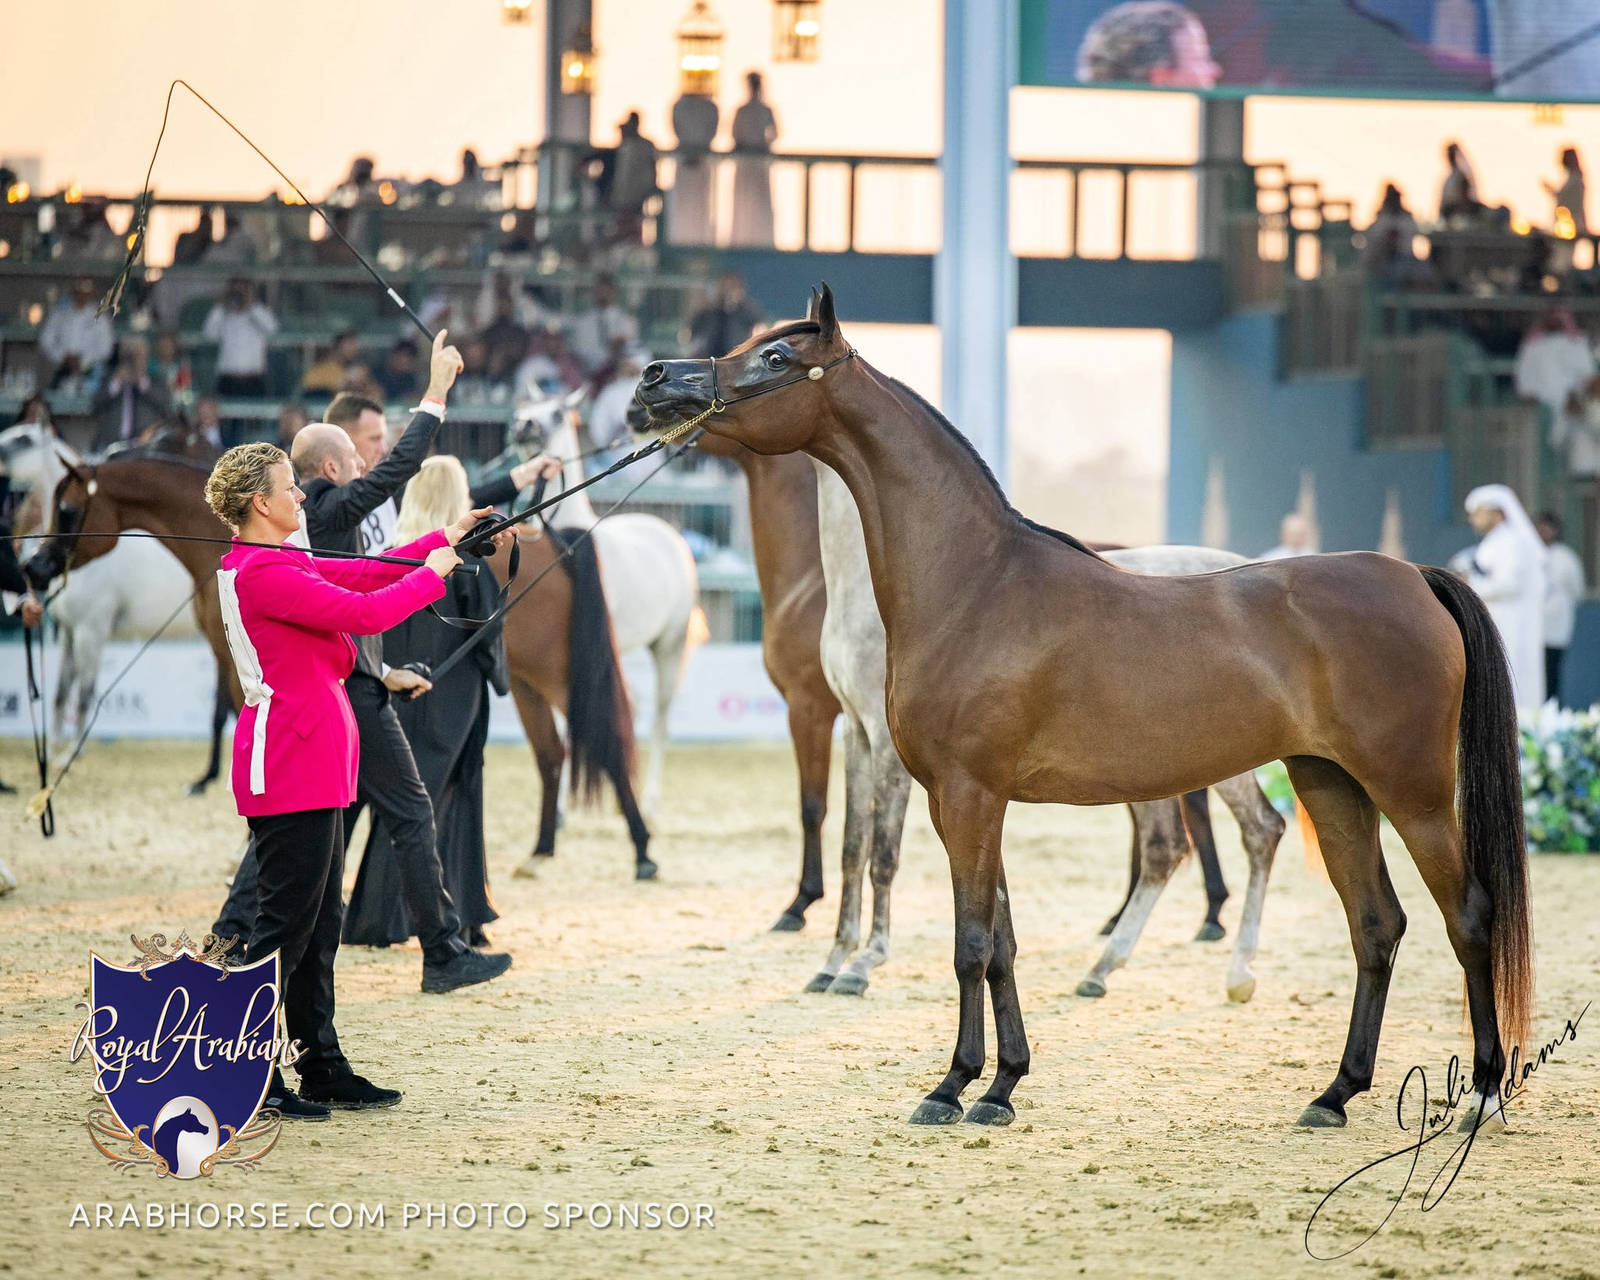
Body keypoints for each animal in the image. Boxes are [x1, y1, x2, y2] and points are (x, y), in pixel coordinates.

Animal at [513, 392, 701, 818]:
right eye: (521, 409)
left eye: (557, 412)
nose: (523, 427)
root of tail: (670, 536)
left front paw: (564, 809)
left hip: (669, 645)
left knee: (660, 720)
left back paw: (649, 800)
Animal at [636, 284, 1533, 1132]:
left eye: (777, 356)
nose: (654, 381)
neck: (976, 581)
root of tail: (1415, 577)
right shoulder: (967, 799)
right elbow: (1001, 941)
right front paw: (1002, 1086)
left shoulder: (966, 794)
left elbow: (968, 943)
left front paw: (951, 1086)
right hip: (1332, 785)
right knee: (1376, 926)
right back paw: (1335, 1094)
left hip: (1413, 794)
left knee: (1467, 918)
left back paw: (1483, 1095)